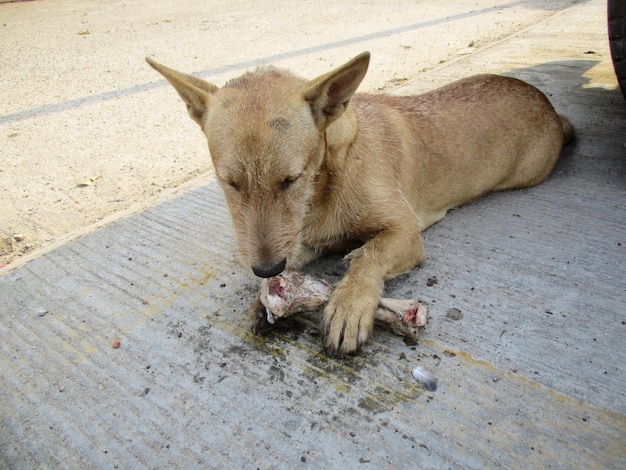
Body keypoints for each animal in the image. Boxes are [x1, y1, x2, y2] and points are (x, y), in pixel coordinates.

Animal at [145, 51, 572, 352]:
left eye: (290, 180)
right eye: (229, 183)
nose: (266, 268)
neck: (324, 187)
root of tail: (550, 106)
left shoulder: (404, 231)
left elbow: (368, 254)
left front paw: (350, 302)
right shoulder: (301, 242)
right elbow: (294, 260)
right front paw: (266, 296)